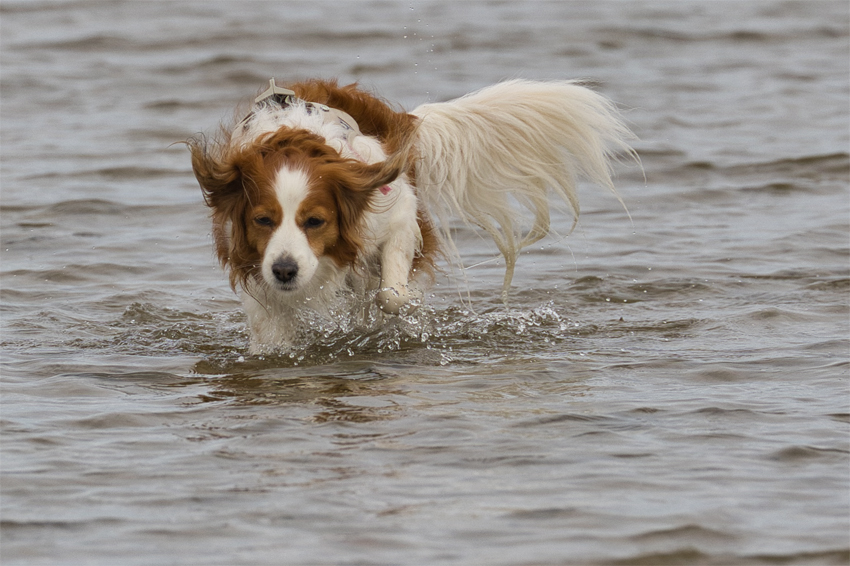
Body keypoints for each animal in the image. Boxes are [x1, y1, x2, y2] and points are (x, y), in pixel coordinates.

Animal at [189, 79, 632, 356]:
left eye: (314, 221)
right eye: (263, 221)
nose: (284, 270)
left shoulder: (398, 215)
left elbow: (392, 294)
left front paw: (398, 309)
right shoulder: (255, 274)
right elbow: (271, 331)